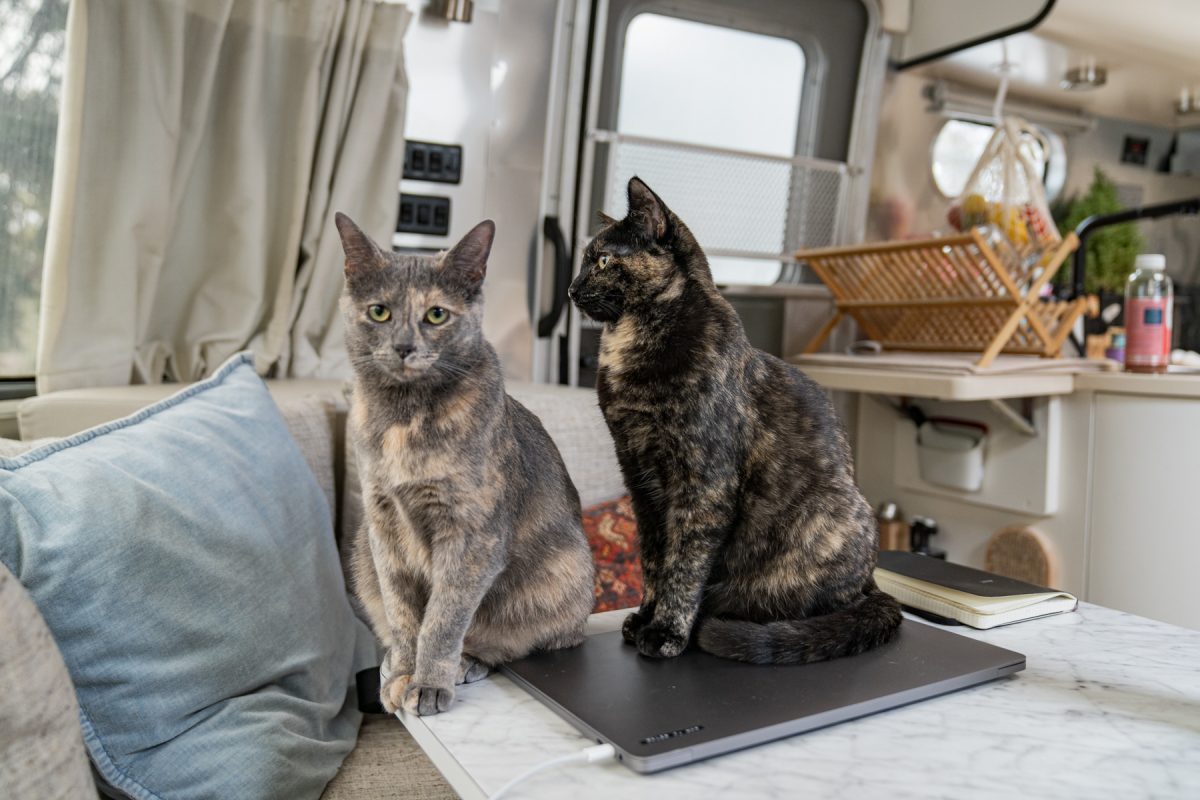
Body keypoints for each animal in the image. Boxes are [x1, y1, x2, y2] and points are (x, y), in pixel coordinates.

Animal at [333, 214, 595, 719]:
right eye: (379, 312)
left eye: (437, 315)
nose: (403, 346)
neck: (404, 418)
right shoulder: (383, 526)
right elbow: (403, 614)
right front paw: (402, 674)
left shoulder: (471, 534)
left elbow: (443, 618)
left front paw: (428, 684)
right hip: (359, 551)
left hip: (564, 574)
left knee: (510, 643)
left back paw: (466, 663)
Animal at [568, 179, 902, 662]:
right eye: (584, 262)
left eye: (604, 260)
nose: (572, 289)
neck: (630, 344)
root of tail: (873, 582)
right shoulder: (639, 479)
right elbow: (653, 558)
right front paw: (646, 617)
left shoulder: (704, 483)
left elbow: (684, 564)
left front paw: (666, 631)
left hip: (836, 515)